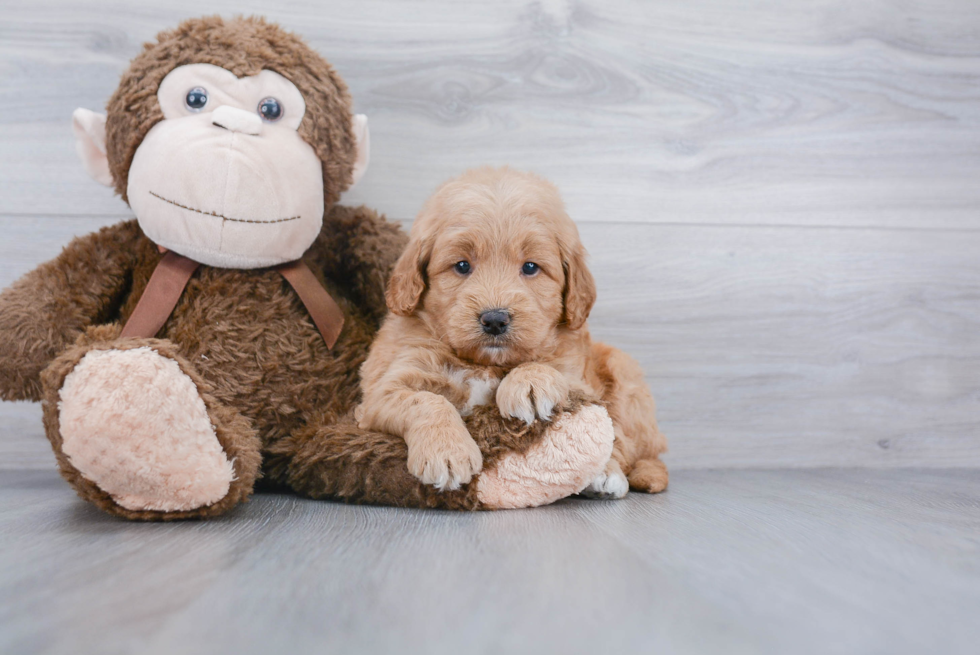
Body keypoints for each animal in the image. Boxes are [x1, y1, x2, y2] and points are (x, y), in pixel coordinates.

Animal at [356, 165, 668, 498]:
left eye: (530, 267)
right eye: (462, 265)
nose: (495, 320)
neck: (485, 364)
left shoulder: (578, 380)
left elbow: (546, 366)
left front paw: (529, 383)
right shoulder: (381, 392)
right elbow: (427, 401)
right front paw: (447, 453)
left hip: (624, 373)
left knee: (632, 445)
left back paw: (609, 473)